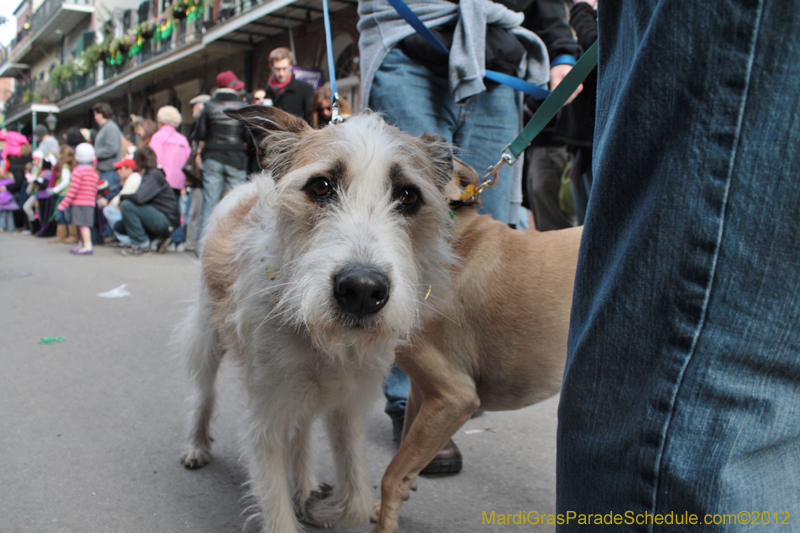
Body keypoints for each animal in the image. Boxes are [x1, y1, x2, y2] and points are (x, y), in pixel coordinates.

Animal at [180, 106, 456, 528]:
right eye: (321, 187)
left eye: (408, 196)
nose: (362, 290)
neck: (319, 335)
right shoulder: (267, 414)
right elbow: (276, 508)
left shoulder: (349, 405)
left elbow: (356, 492)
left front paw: (327, 503)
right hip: (207, 333)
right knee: (203, 391)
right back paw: (196, 444)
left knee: (302, 430)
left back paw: (306, 485)